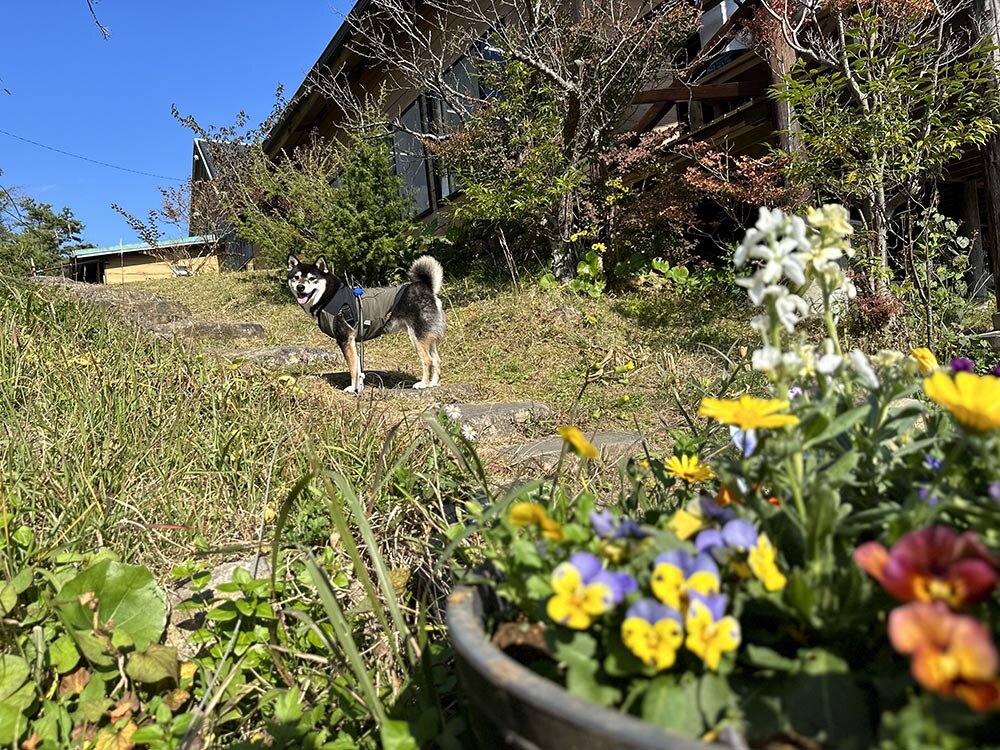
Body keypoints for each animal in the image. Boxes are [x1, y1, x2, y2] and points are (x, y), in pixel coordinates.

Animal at [290, 254, 446, 394]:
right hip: (429, 337)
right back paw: (433, 383)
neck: (330, 296)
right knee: (437, 360)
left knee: (427, 360)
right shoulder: (352, 341)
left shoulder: (345, 339)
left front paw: (352, 388)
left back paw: (423, 384)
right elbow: (358, 368)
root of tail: (427, 288)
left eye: (312, 278)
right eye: (296, 277)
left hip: (417, 337)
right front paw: (358, 387)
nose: (300, 287)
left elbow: (352, 368)